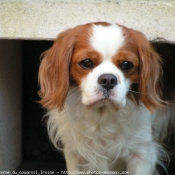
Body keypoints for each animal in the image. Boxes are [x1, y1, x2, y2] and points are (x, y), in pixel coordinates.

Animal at [37, 22, 174, 175]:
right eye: (86, 62)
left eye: (127, 65)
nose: (108, 80)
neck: (101, 117)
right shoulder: (74, 152)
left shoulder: (142, 152)